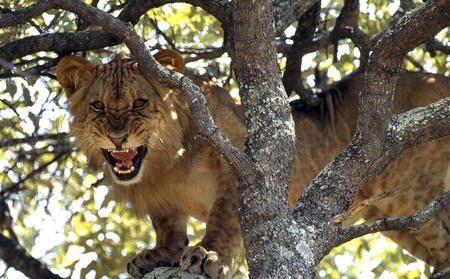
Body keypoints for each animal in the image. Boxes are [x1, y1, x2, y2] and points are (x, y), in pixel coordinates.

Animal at [56, 49, 450, 278]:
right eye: (98, 106)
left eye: (139, 103)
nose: (118, 137)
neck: (165, 161)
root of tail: (437, 77)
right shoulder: (162, 199)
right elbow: (168, 227)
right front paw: (159, 255)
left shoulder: (239, 167)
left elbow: (224, 221)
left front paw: (208, 255)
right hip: (397, 222)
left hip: (413, 194)